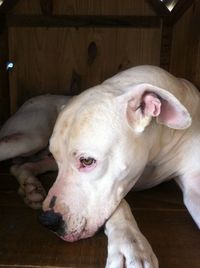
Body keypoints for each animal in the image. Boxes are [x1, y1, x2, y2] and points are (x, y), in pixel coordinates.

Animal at [0, 65, 199, 268]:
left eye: (87, 161)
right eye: (56, 156)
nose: (47, 220)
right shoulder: (116, 185)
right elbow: (119, 202)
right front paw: (131, 244)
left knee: (22, 166)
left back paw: (30, 188)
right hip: (30, 138)